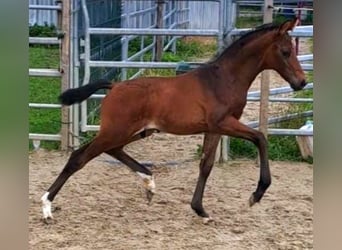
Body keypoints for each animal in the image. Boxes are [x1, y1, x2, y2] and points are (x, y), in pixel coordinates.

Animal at [41, 18, 306, 224]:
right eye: (285, 52)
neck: (222, 79)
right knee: (79, 157)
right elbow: (260, 138)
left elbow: (206, 165)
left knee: (113, 150)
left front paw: (200, 210)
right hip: (116, 130)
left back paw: (149, 183)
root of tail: (114, 86)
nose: (301, 82)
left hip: (136, 131)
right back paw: (46, 207)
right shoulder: (223, 123)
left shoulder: (214, 128)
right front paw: (257, 194)